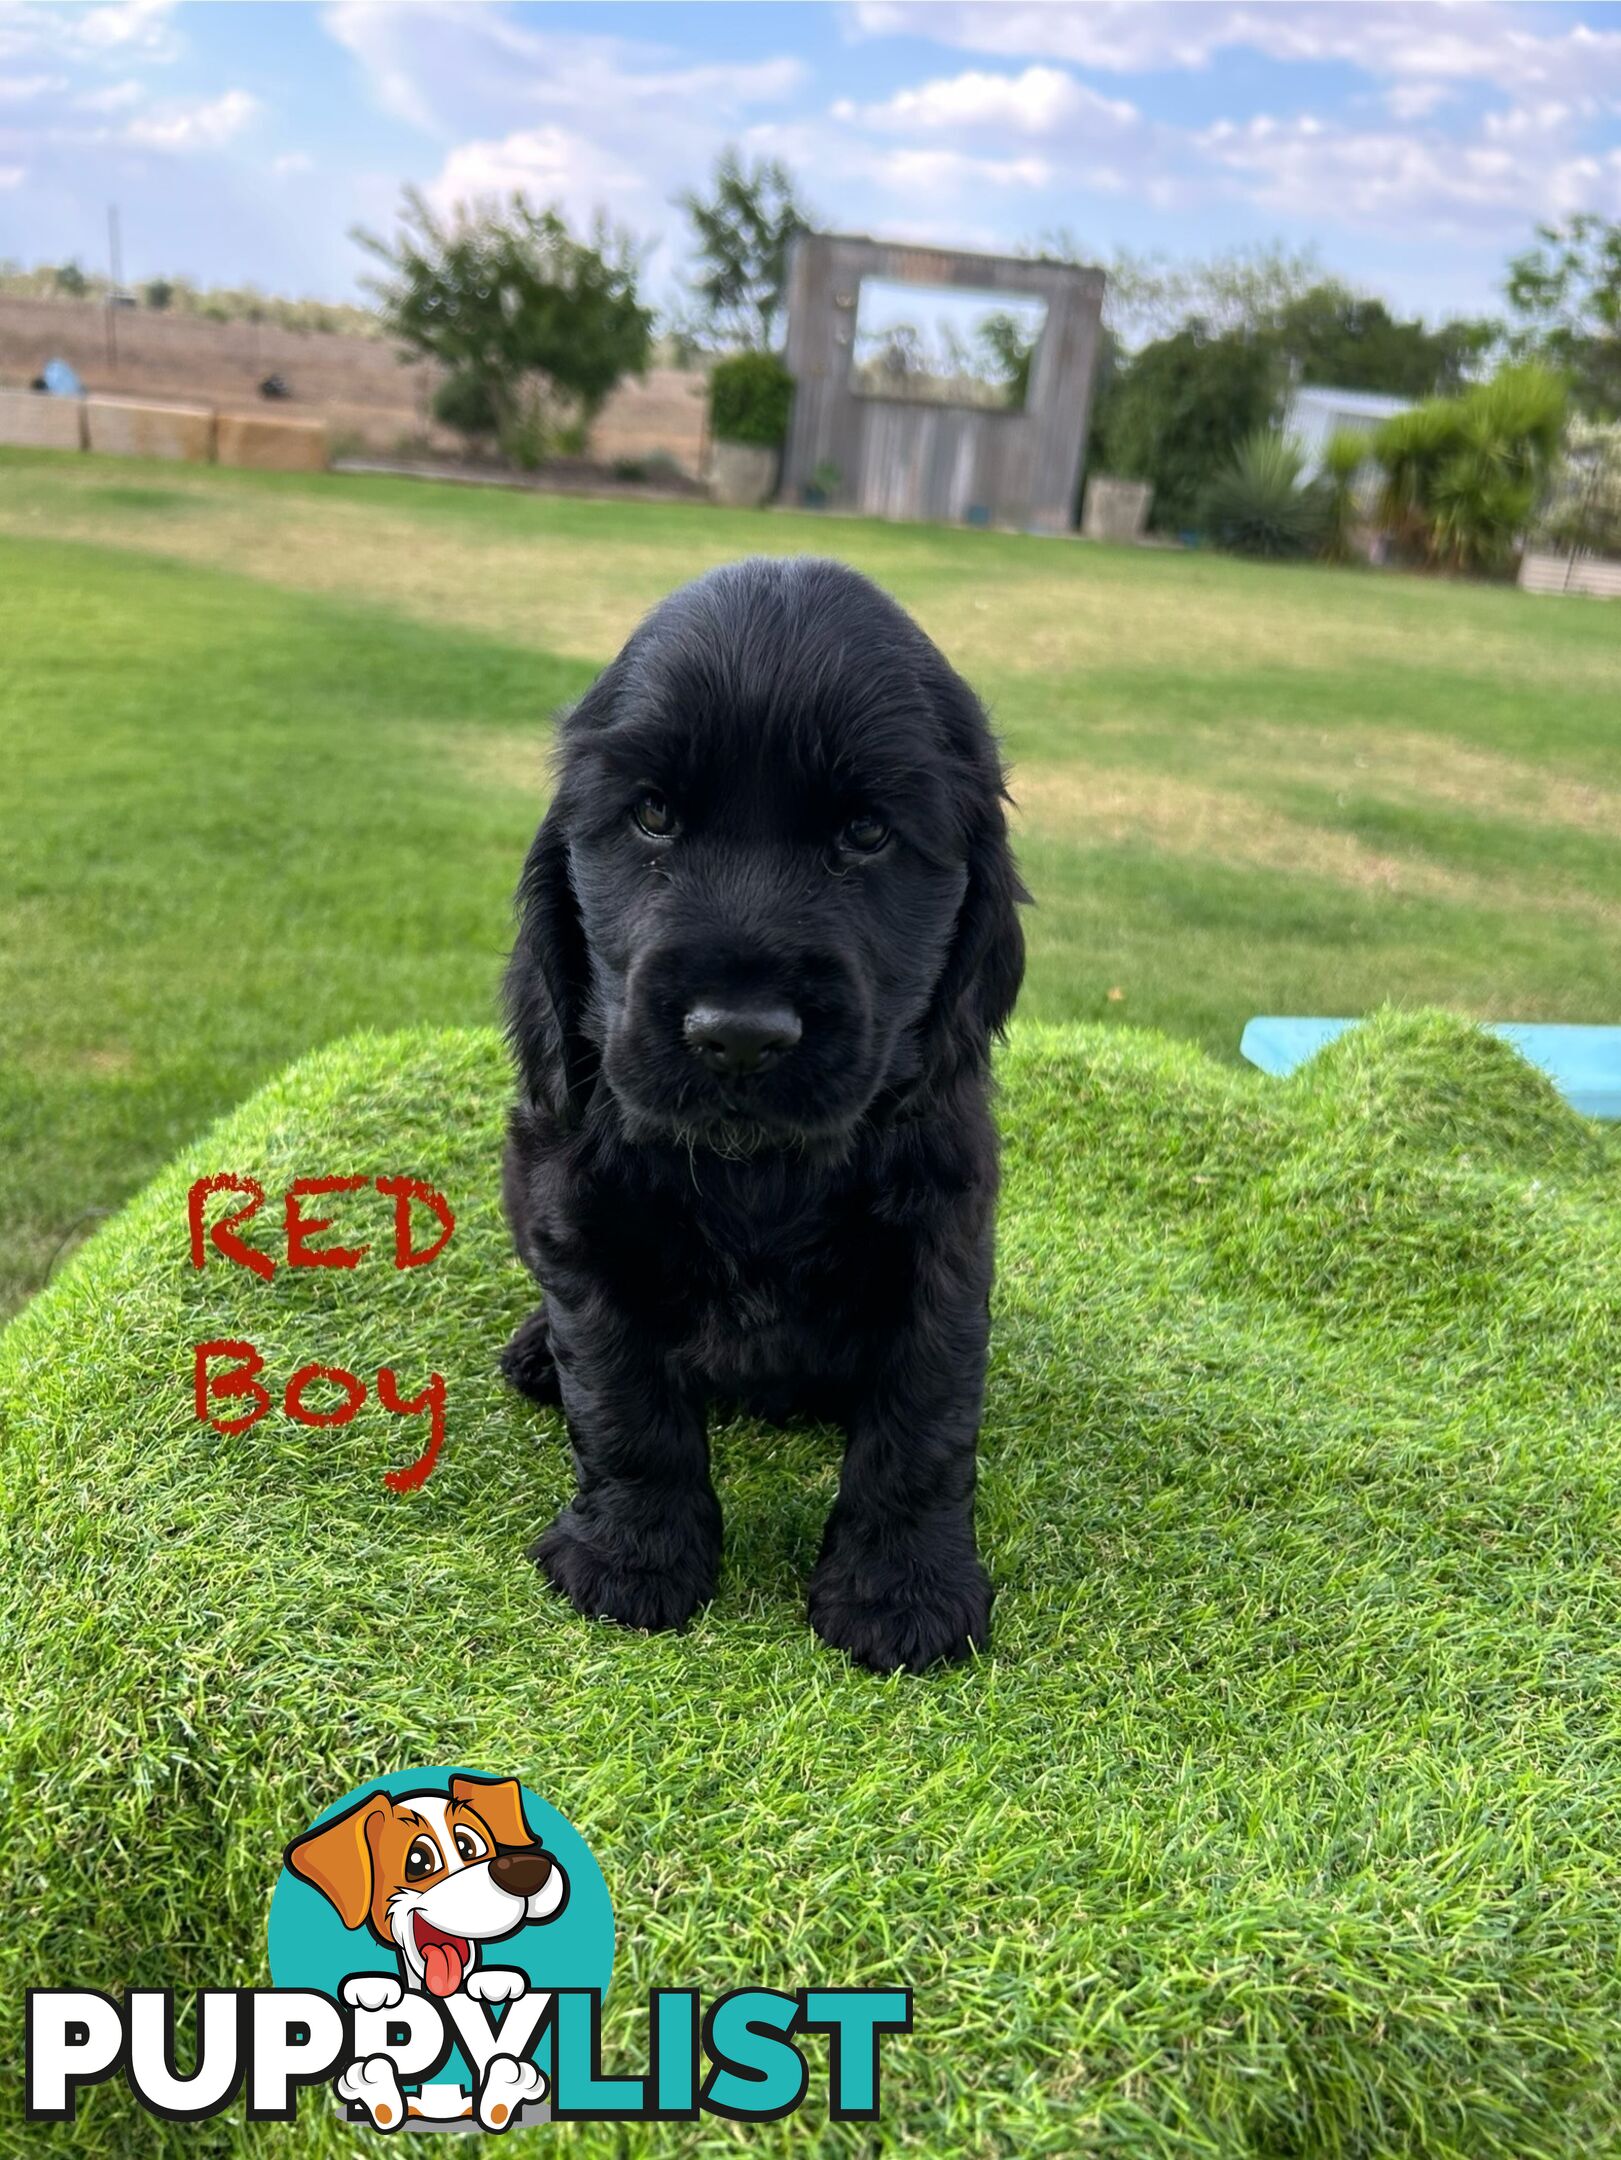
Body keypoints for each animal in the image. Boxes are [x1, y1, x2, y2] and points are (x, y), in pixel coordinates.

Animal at [501, 552, 1028, 1667]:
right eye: (653, 817)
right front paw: (631, 1564)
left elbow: (924, 1419)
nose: (738, 1032)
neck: (761, 1168)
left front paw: (901, 1598)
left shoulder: (943, 1232)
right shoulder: (575, 1209)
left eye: (866, 833)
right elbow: (621, 1402)